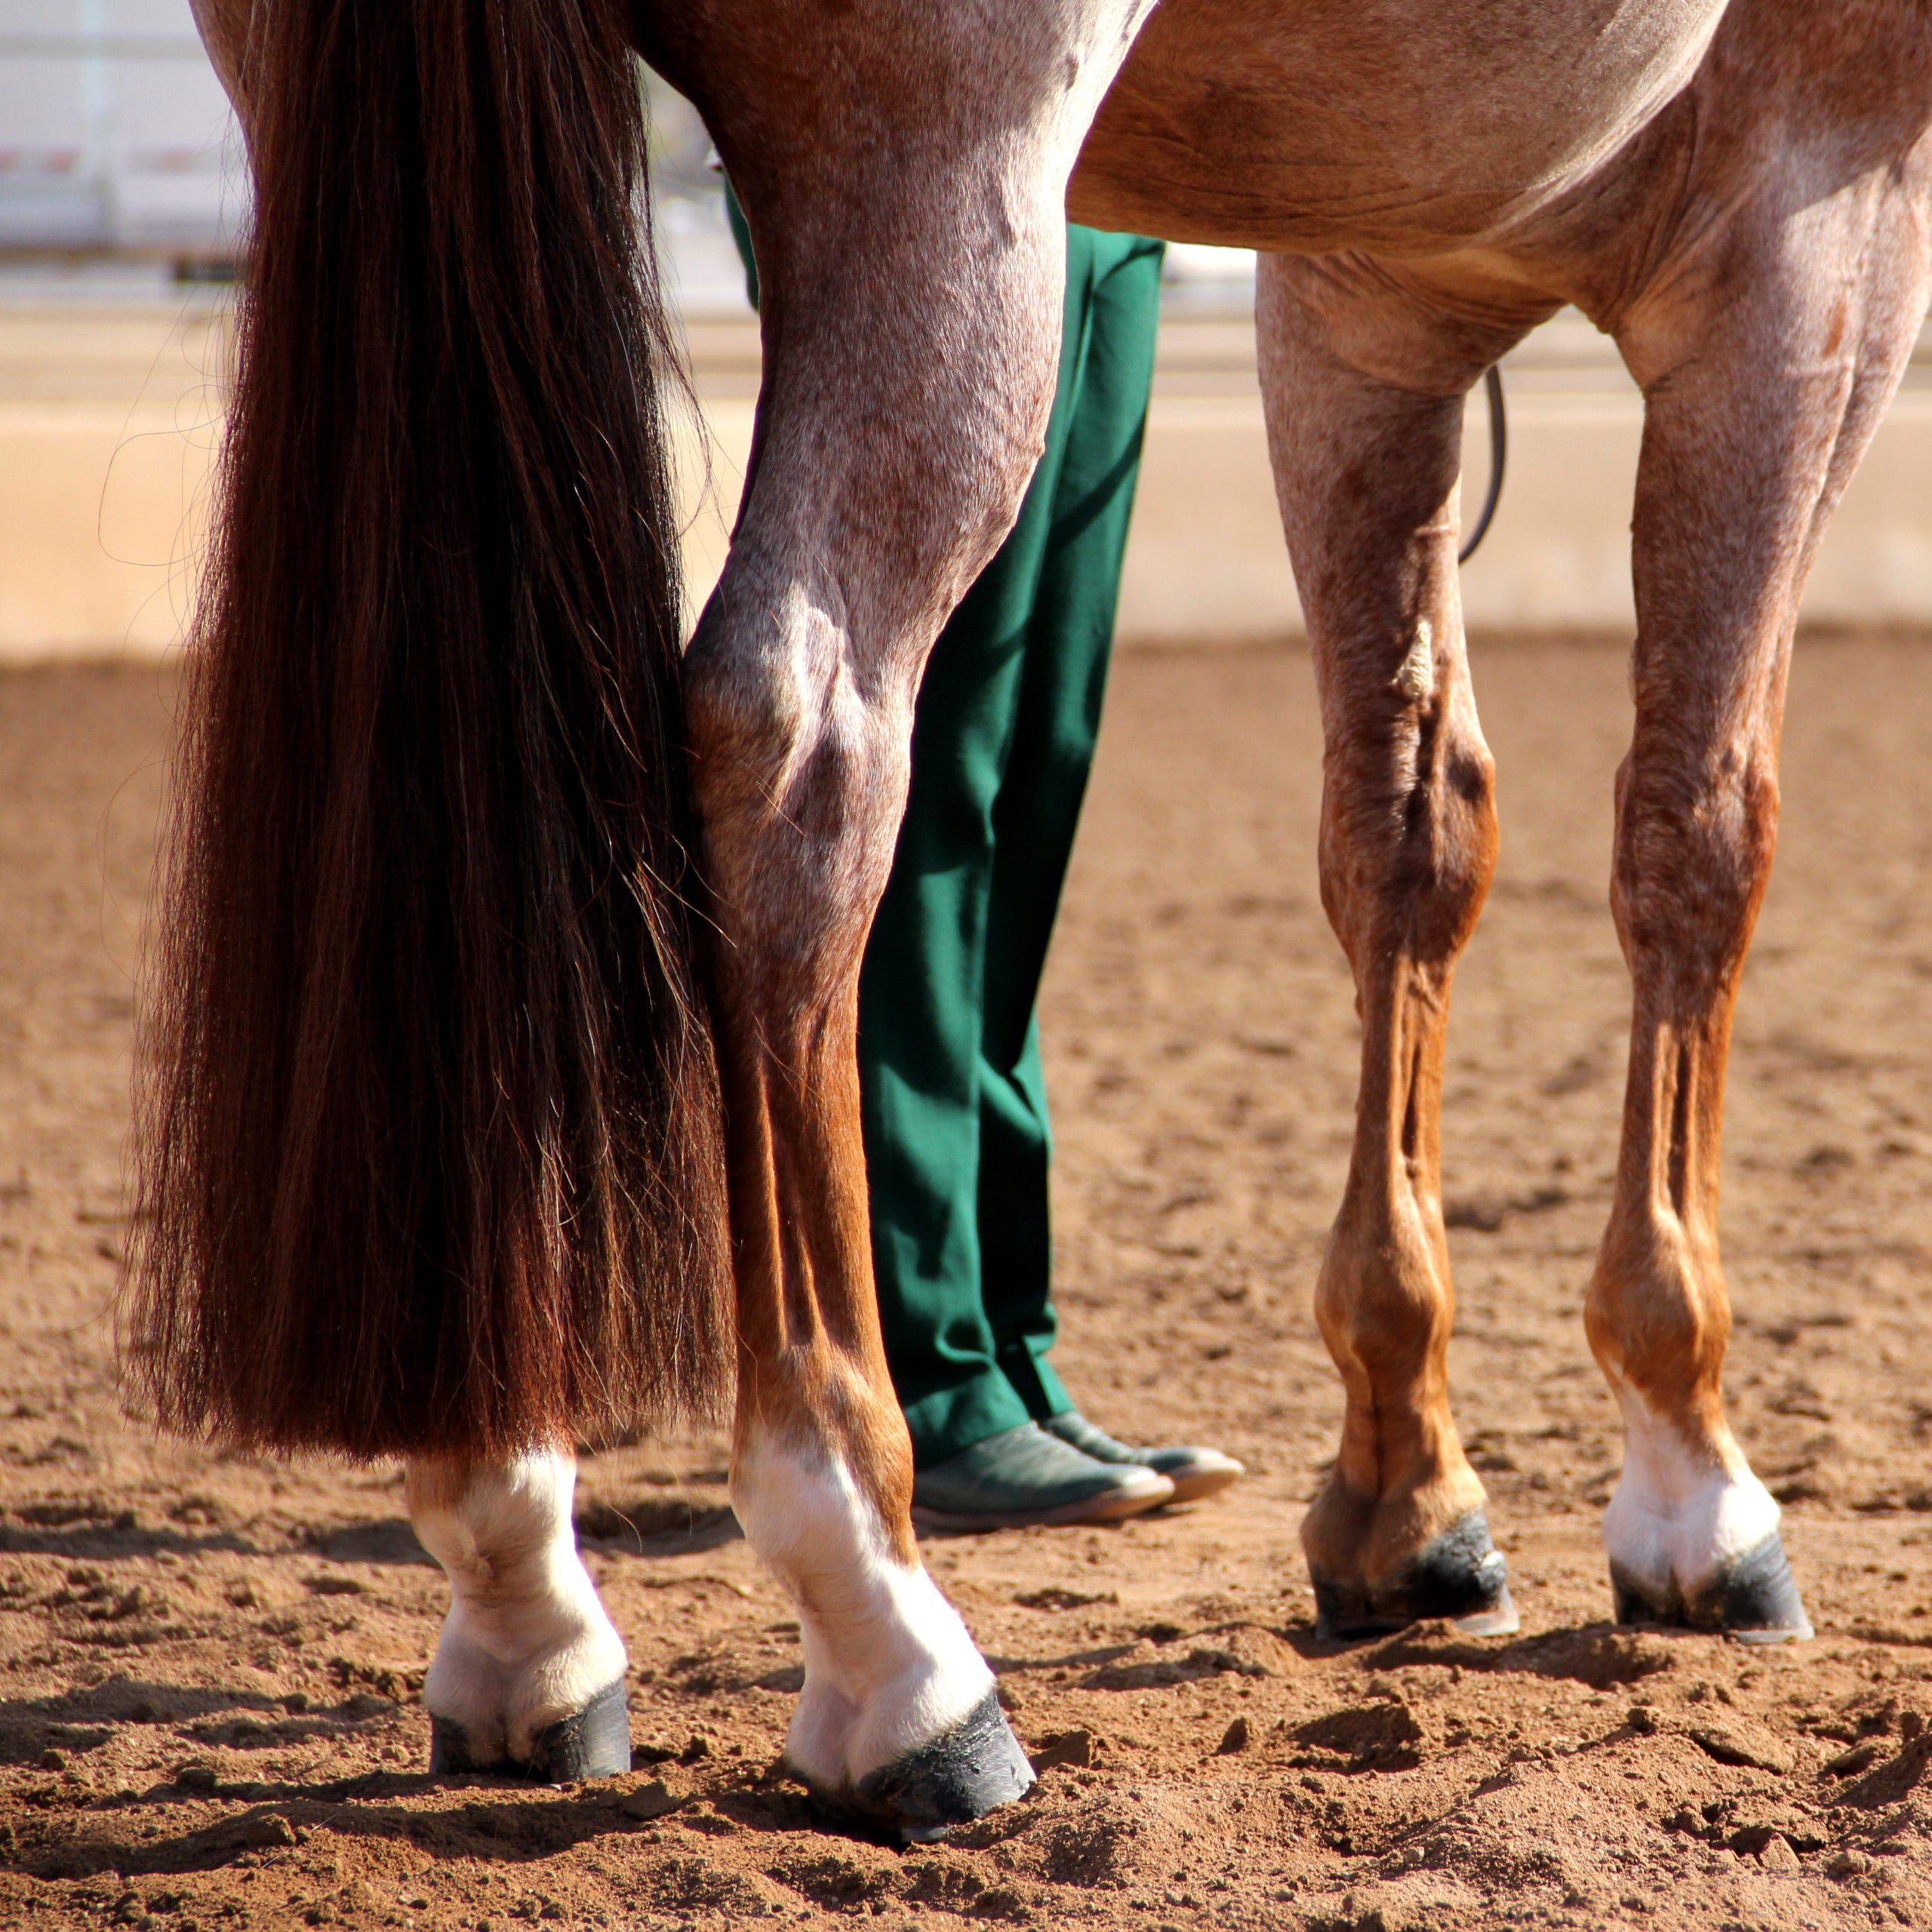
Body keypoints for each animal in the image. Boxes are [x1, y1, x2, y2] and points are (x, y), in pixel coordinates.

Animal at [150, 0, 1932, 1839]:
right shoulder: (1812, 238)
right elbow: (1699, 835)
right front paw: (1690, 1476)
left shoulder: (1368, 287)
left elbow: (1410, 834)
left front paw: (1404, 1490)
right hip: (936, 175)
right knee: (801, 743)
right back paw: (890, 1642)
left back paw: (522, 1589)